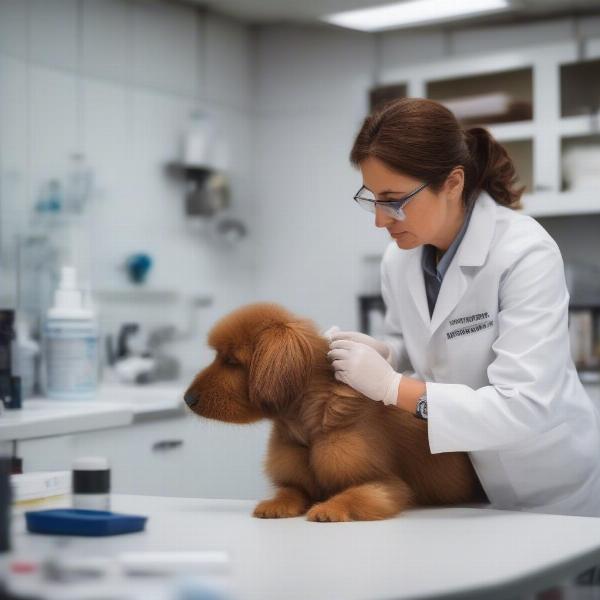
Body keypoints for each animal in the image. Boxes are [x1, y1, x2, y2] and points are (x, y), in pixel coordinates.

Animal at [185, 300, 490, 520]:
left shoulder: (385, 483)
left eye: (231, 361)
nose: (187, 399)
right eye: (218, 356)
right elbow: (290, 490)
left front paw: (329, 508)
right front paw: (276, 504)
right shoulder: (295, 479)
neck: (306, 426)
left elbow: (354, 495)